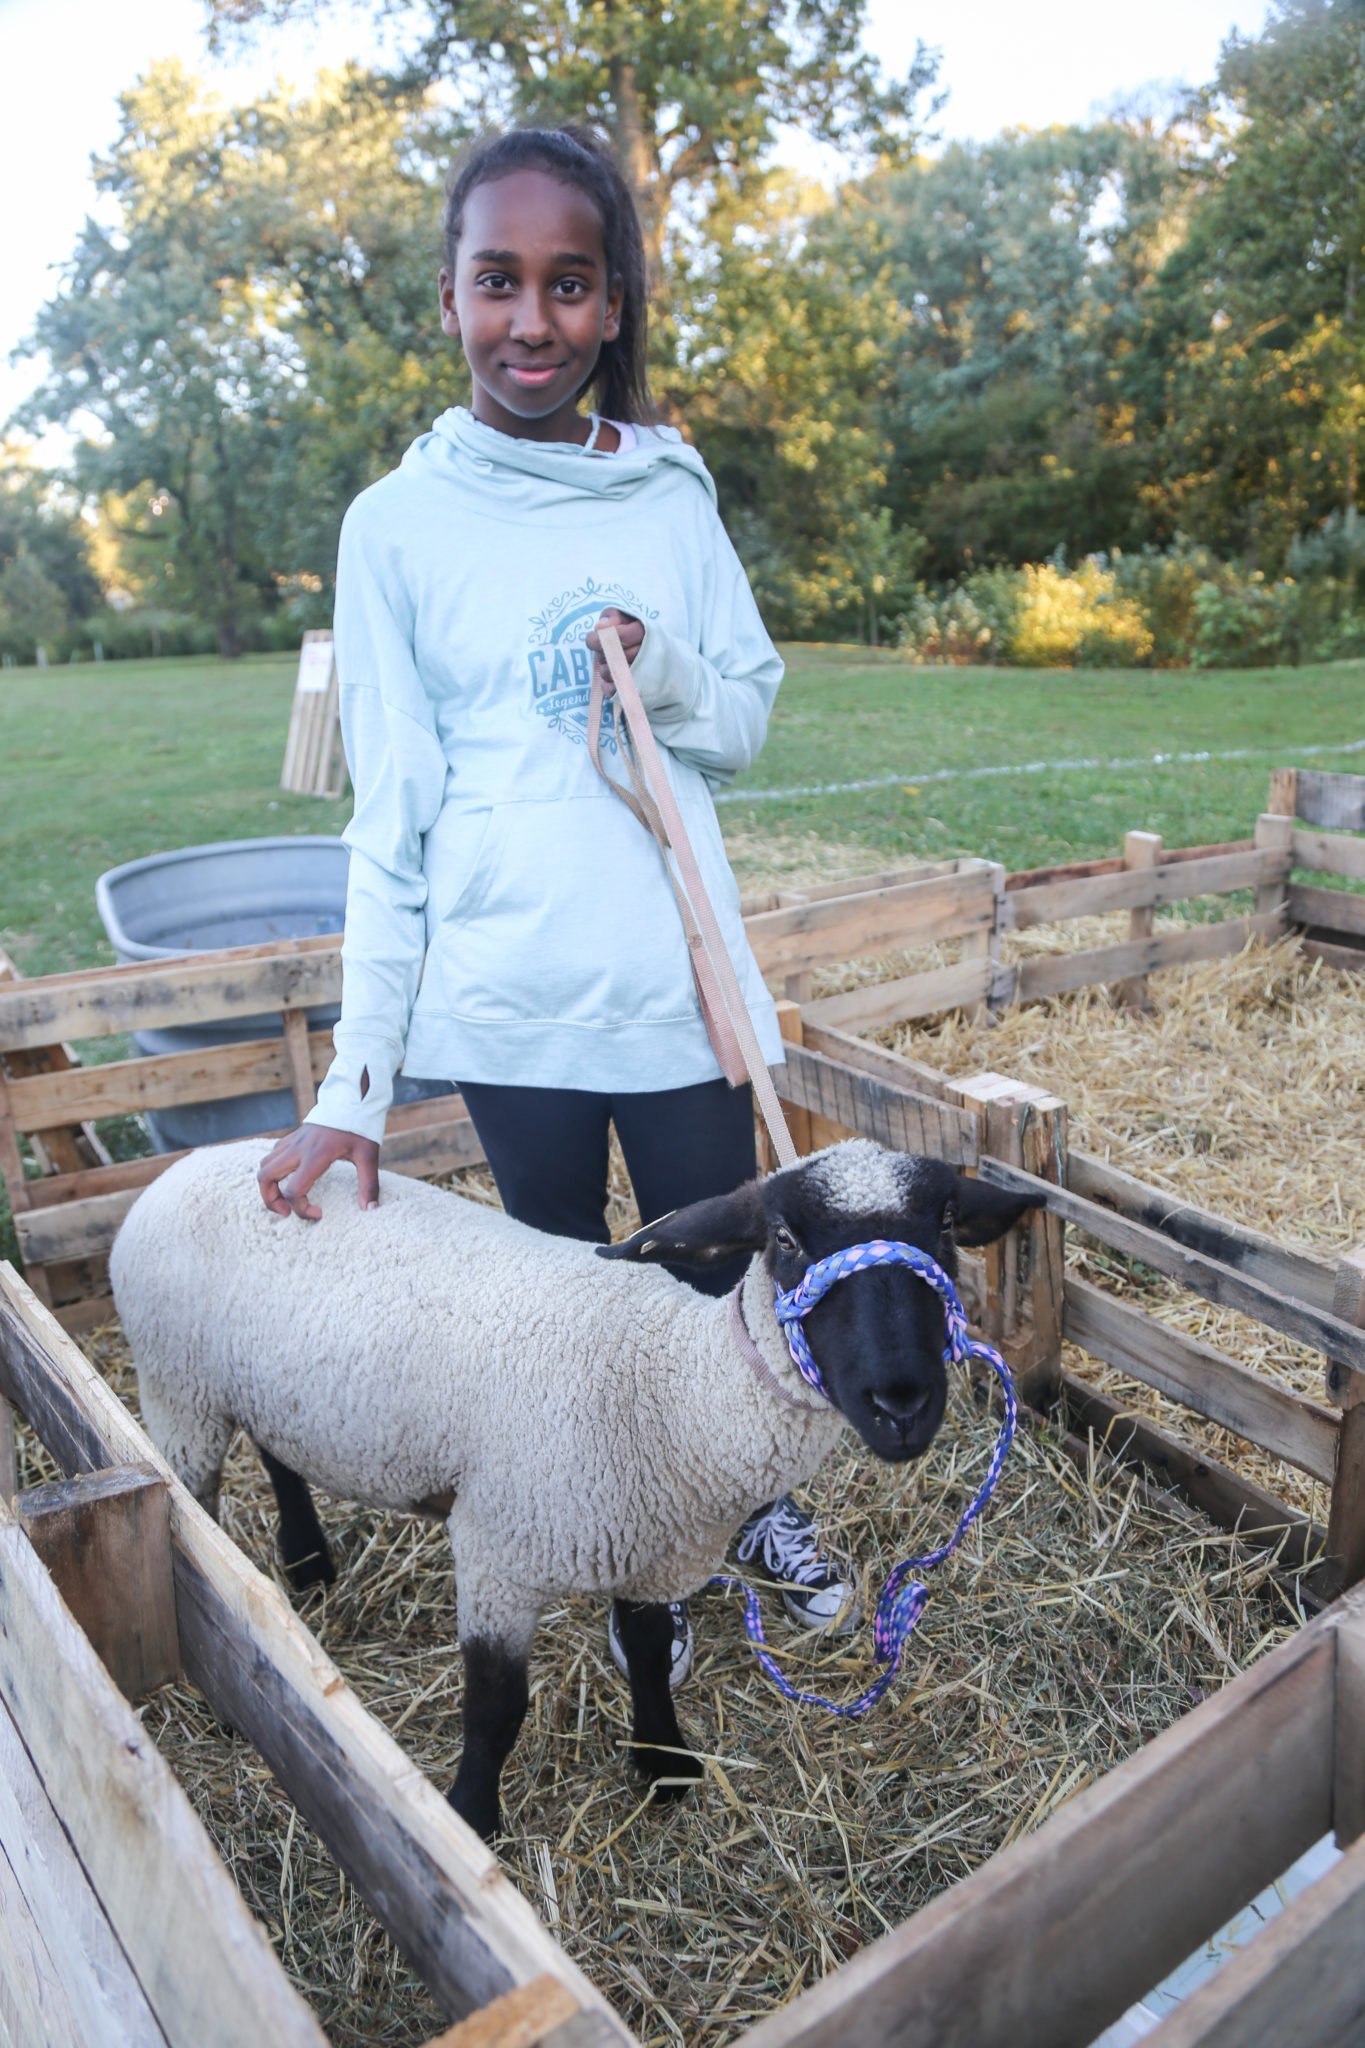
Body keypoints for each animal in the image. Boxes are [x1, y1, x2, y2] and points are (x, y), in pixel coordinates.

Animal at [112, 1138, 1035, 1843]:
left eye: (944, 1225)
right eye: (782, 1237)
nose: (901, 1403)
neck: (664, 1391)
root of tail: (192, 1161)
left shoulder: (649, 1551)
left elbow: (652, 1659)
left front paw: (663, 1766)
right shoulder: (499, 1553)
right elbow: (496, 1708)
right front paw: (471, 1820)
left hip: (265, 1386)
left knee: (278, 1455)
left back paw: (307, 1562)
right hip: (176, 1387)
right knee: (197, 1518)